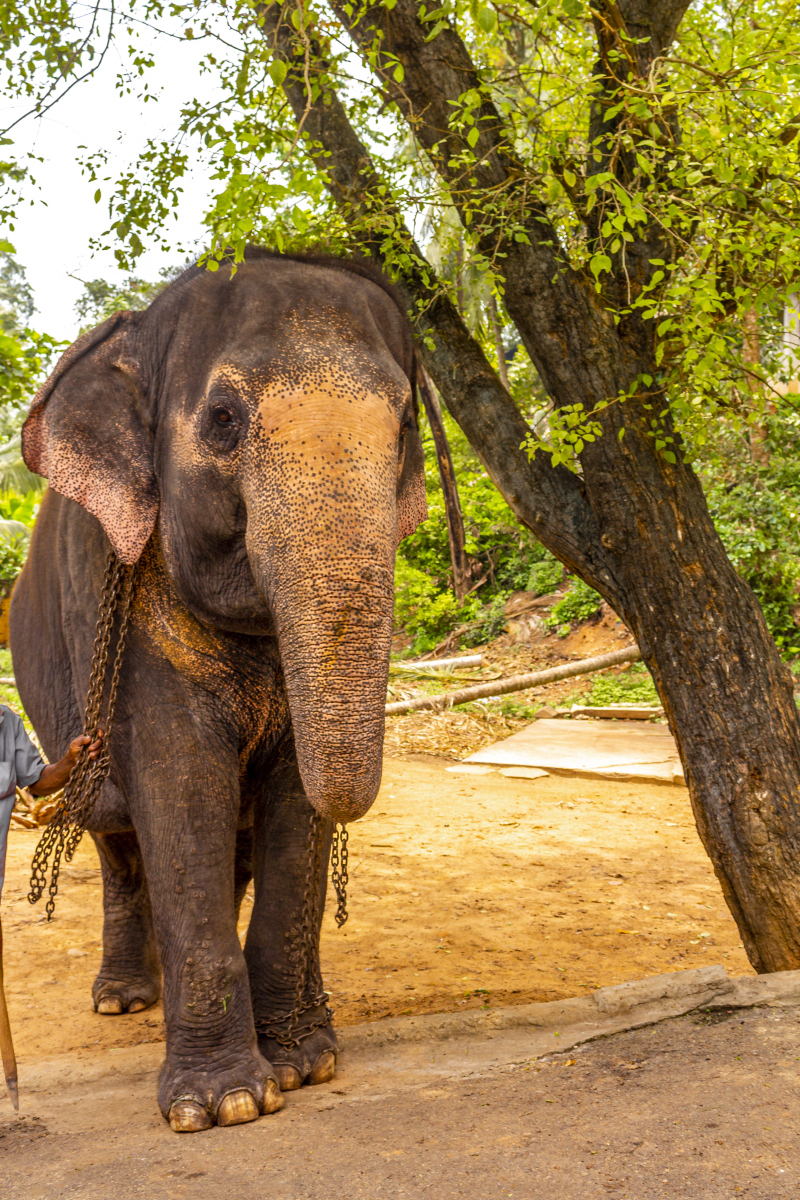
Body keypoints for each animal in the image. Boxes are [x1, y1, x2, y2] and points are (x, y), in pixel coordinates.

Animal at [7, 248, 431, 1128]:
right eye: (225, 420)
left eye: (405, 425)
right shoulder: (127, 606)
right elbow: (182, 783)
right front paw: (223, 1104)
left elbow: (292, 796)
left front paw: (304, 1063)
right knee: (120, 840)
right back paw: (126, 999)